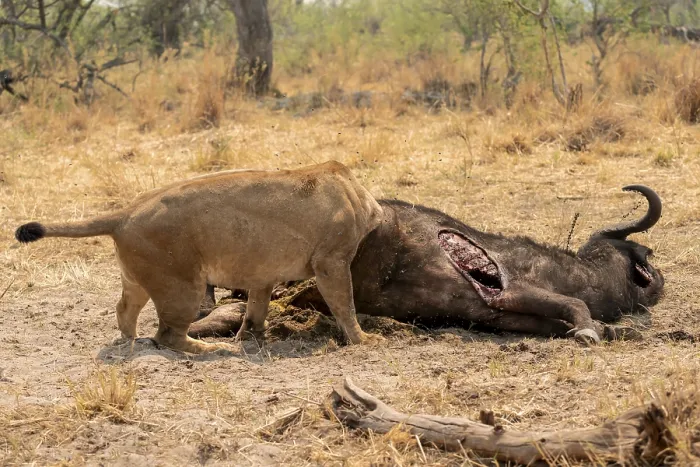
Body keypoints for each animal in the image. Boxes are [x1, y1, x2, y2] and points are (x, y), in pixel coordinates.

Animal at [15, 160, 384, 354]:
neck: (352, 191)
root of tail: (124, 213)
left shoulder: (263, 273)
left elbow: (256, 307)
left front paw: (250, 336)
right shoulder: (331, 261)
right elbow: (345, 305)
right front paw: (365, 340)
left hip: (138, 281)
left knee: (124, 310)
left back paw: (129, 340)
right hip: (184, 287)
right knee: (167, 336)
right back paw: (213, 349)